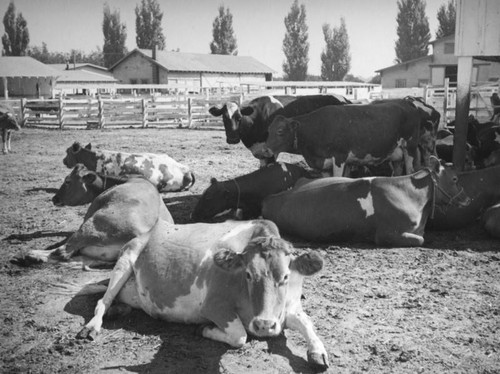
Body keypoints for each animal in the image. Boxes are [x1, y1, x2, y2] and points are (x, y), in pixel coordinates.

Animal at [11, 177, 174, 270]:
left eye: (68, 181)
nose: (54, 198)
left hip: (88, 227)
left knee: (62, 252)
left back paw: (30, 255)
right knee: (79, 259)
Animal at [72, 219, 326, 368]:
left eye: (285, 277)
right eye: (248, 274)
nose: (264, 325)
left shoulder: (290, 307)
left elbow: (307, 322)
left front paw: (317, 351)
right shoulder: (213, 306)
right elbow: (240, 335)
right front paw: (204, 329)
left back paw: (119, 310)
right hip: (125, 259)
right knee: (102, 300)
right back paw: (92, 326)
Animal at [262, 98, 430, 177]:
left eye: (280, 131)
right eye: (268, 131)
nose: (265, 150)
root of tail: (407, 102)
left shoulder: (339, 157)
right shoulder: (323, 164)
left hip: (409, 147)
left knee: (409, 169)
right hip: (396, 154)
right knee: (398, 171)